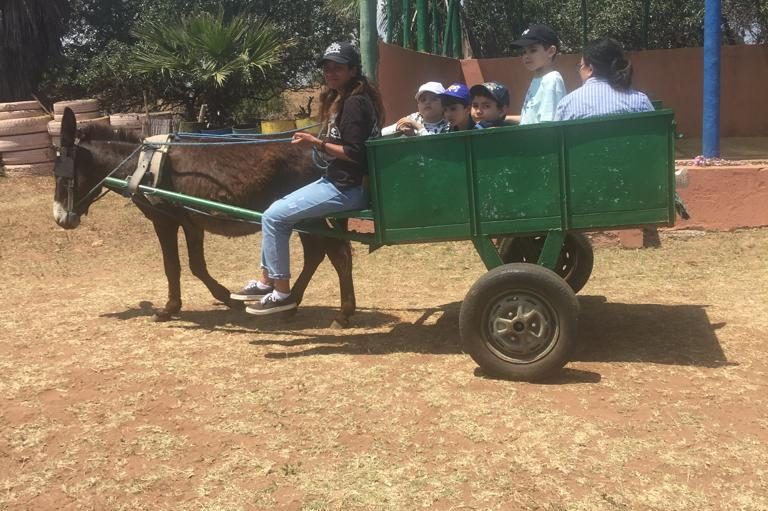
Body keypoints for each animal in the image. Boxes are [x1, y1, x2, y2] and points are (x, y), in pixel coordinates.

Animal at [51, 107, 358, 326]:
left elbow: (174, 266)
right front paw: (226, 299)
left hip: (309, 216)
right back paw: (291, 304)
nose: (59, 219)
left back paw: (343, 313)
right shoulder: (191, 222)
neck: (142, 165)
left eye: (62, 176)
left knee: (338, 254)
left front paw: (169, 309)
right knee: (317, 254)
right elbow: (195, 265)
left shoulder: (164, 220)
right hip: (303, 218)